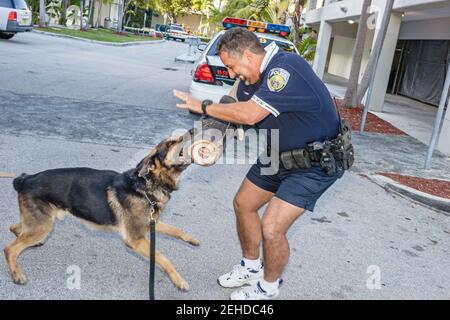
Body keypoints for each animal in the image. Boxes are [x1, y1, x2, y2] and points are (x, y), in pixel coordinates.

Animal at [3, 132, 197, 290]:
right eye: (171, 143)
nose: (192, 130)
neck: (146, 184)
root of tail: (26, 178)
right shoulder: (135, 239)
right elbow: (163, 258)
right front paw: (179, 280)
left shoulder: (151, 222)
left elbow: (176, 230)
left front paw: (192, 239)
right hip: (42, 226)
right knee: (9, 248)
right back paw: (17, 274)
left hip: (38, 222)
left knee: (15, 228)